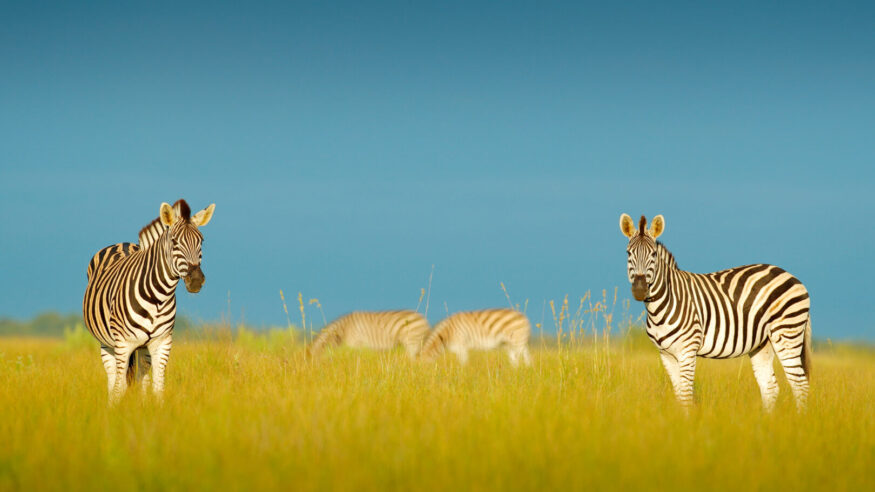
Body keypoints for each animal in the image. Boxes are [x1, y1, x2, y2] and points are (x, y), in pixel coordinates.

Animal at [83, 199, 215, 404]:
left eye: (201, 241)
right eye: (174, 241)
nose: (196, 280)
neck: (158, 298)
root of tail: (122, 243)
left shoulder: (162, 343)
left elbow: (158, 387)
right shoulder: (123, 344)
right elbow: (119, 388)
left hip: (143, 347)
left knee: (141, 377)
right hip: (107, 343)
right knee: (112, 380)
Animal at [619, 213, 812, 411]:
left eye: (654, 254)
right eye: (628, 253)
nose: (639, 290)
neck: (662, 305)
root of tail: (790, 275)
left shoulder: (688, 350)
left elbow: (686, 395)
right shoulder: (666, 354)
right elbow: (679, 395)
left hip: (787, 333)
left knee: (800, 385)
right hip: (763, 343)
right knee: (770, 387)